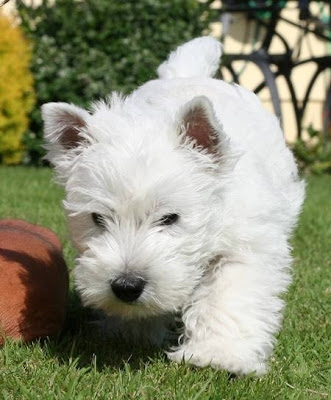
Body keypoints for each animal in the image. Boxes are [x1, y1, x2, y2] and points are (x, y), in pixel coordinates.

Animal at [42, 36, 306, 376]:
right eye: (97, 219)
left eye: (170, 218)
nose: (126, 287)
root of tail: (185, 74)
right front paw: (131, 332)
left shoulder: (246, 244)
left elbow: (229, 297)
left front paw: (218, 355)